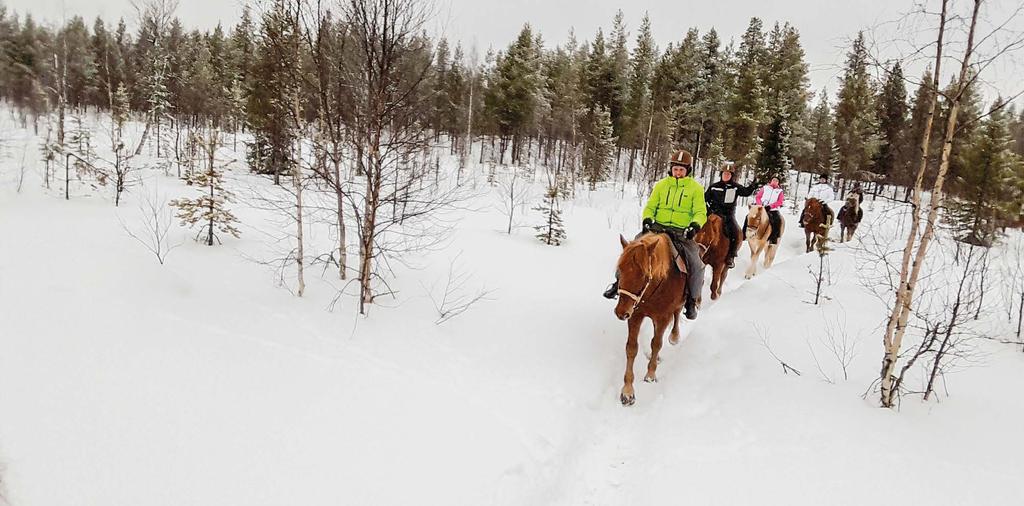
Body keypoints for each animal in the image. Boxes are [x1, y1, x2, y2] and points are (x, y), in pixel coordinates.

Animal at [610, 234, 684, 407]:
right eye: (619, 271)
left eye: (643, 275)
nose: (621, 312)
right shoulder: (635, 315)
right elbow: (631, 348)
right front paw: (628, 391)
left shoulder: (663, 317)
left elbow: (656, 343)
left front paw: (650, 375)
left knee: (677, 314)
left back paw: (674, 337)